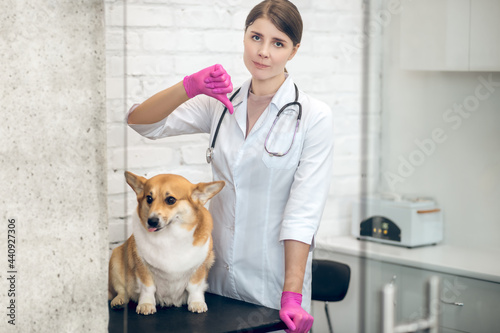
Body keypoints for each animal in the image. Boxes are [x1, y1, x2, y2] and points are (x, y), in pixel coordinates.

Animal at [110, 171, 226, 314]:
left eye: (171, 200)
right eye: (149, 198)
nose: (151, 221)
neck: (169, 236)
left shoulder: (199, 267)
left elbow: (195, 287)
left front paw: (197, 303)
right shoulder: (142, 266)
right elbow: (147, 288)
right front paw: (146, 304)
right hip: (115, 260)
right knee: (121, 289)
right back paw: (118, 301)